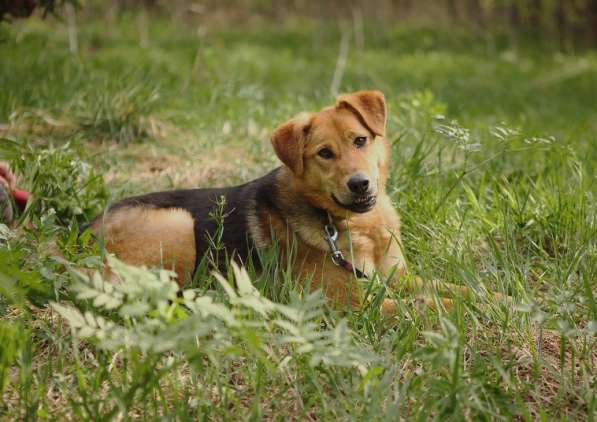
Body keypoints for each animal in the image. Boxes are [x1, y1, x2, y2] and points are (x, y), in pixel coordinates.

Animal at [89, 90, 498, 314]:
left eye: (361, 140)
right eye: (324, 153)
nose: (360, 185)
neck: (356, 226)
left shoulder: (396, 277)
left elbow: (456, 289)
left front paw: (496, 299)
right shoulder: (348, 304)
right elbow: (435, 307)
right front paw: (464, 313)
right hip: (177, 224)